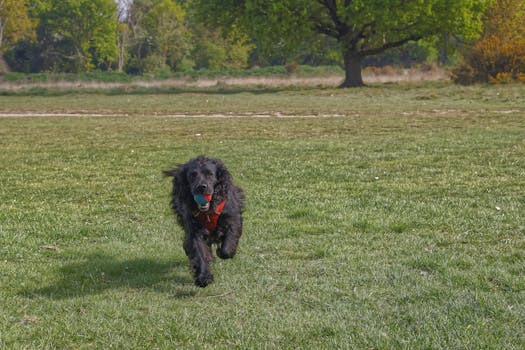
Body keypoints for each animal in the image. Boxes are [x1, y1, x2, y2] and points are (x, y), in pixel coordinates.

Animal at [164, 156, 244, 288]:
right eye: (192, 175)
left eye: (210, 174)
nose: (201, 187)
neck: (208, 210)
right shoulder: (194, 230)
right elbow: (199, 252)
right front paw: (203, 277)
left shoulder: (232, 218)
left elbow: (227, 246)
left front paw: (224, 251)